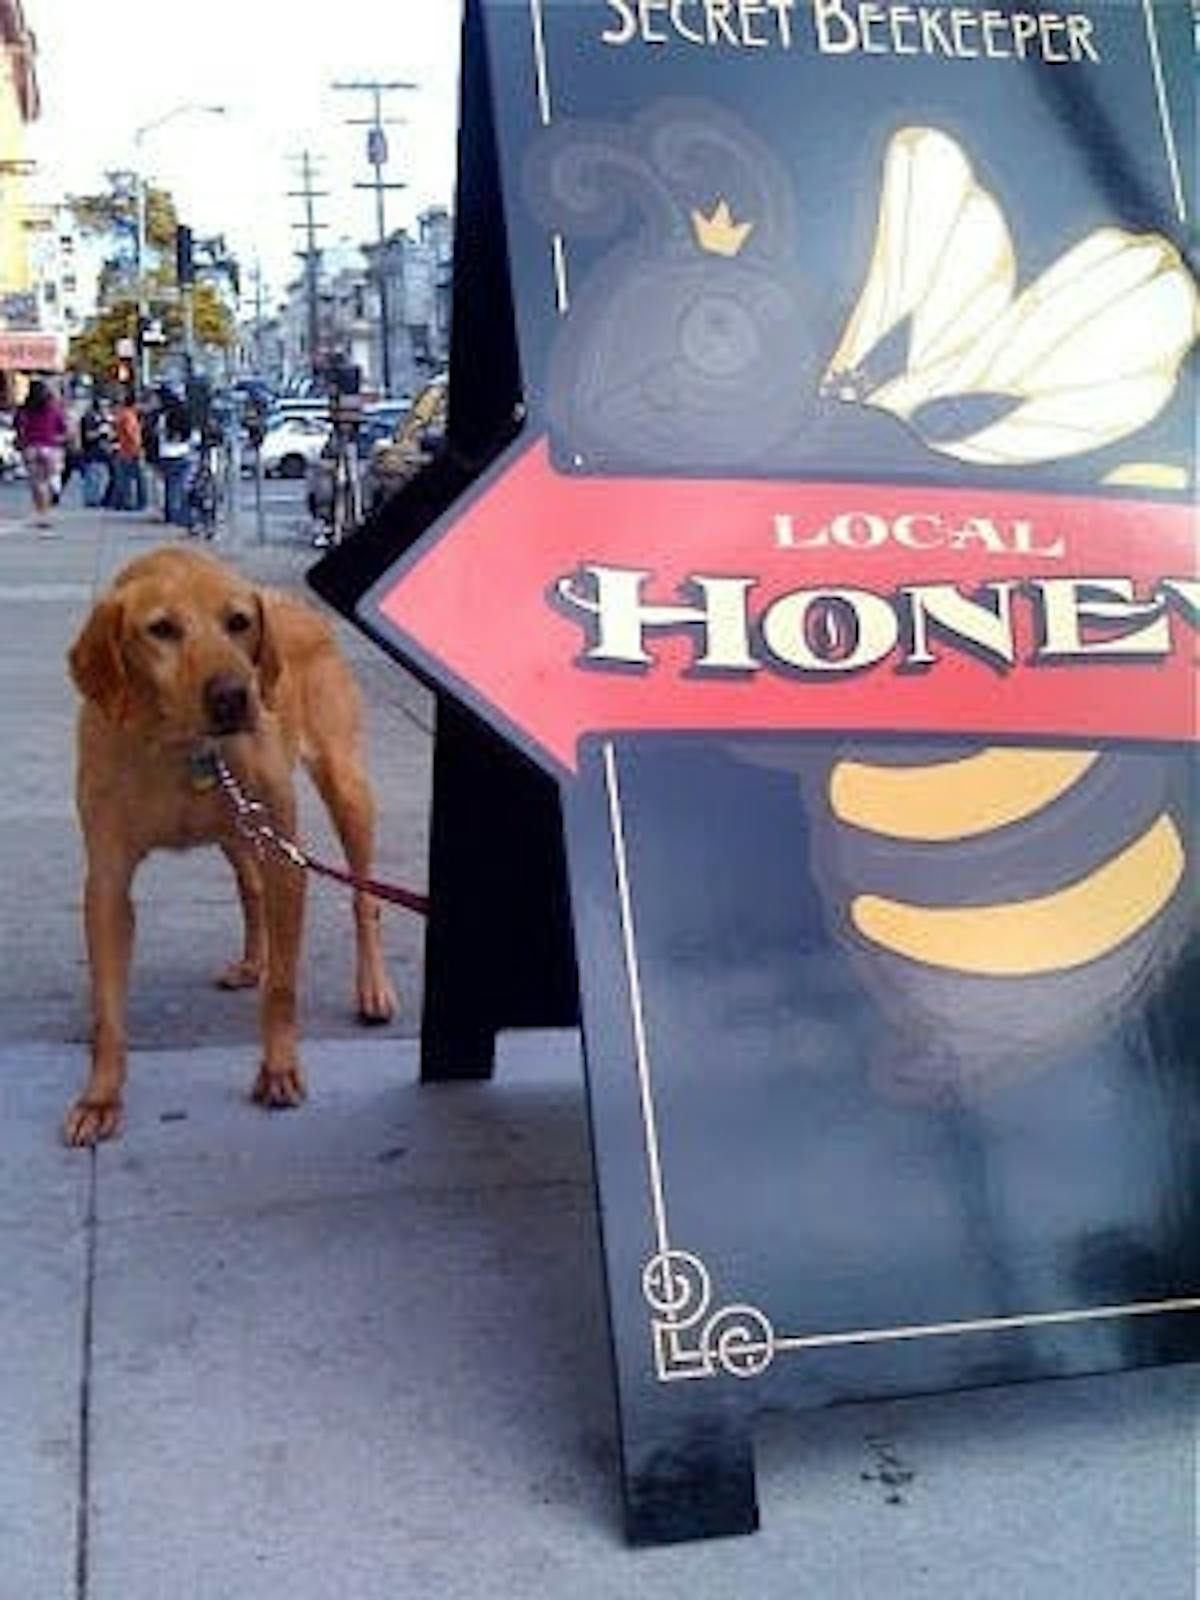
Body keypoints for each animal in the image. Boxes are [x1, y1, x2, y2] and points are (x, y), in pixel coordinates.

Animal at [65, 544, 396, 1145]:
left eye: (239, 622)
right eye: (162, 629)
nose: (233, 697)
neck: (181, 748)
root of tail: (297, 606)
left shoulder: (288, 859)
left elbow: (284, 989)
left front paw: (279, 1068)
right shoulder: (107, 881)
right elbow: (108, 1010)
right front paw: (100, 1097)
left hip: (345, 788)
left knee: (366, 900)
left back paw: (373, 988)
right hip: (239, 831)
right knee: (251, 888)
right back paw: (251, 962)